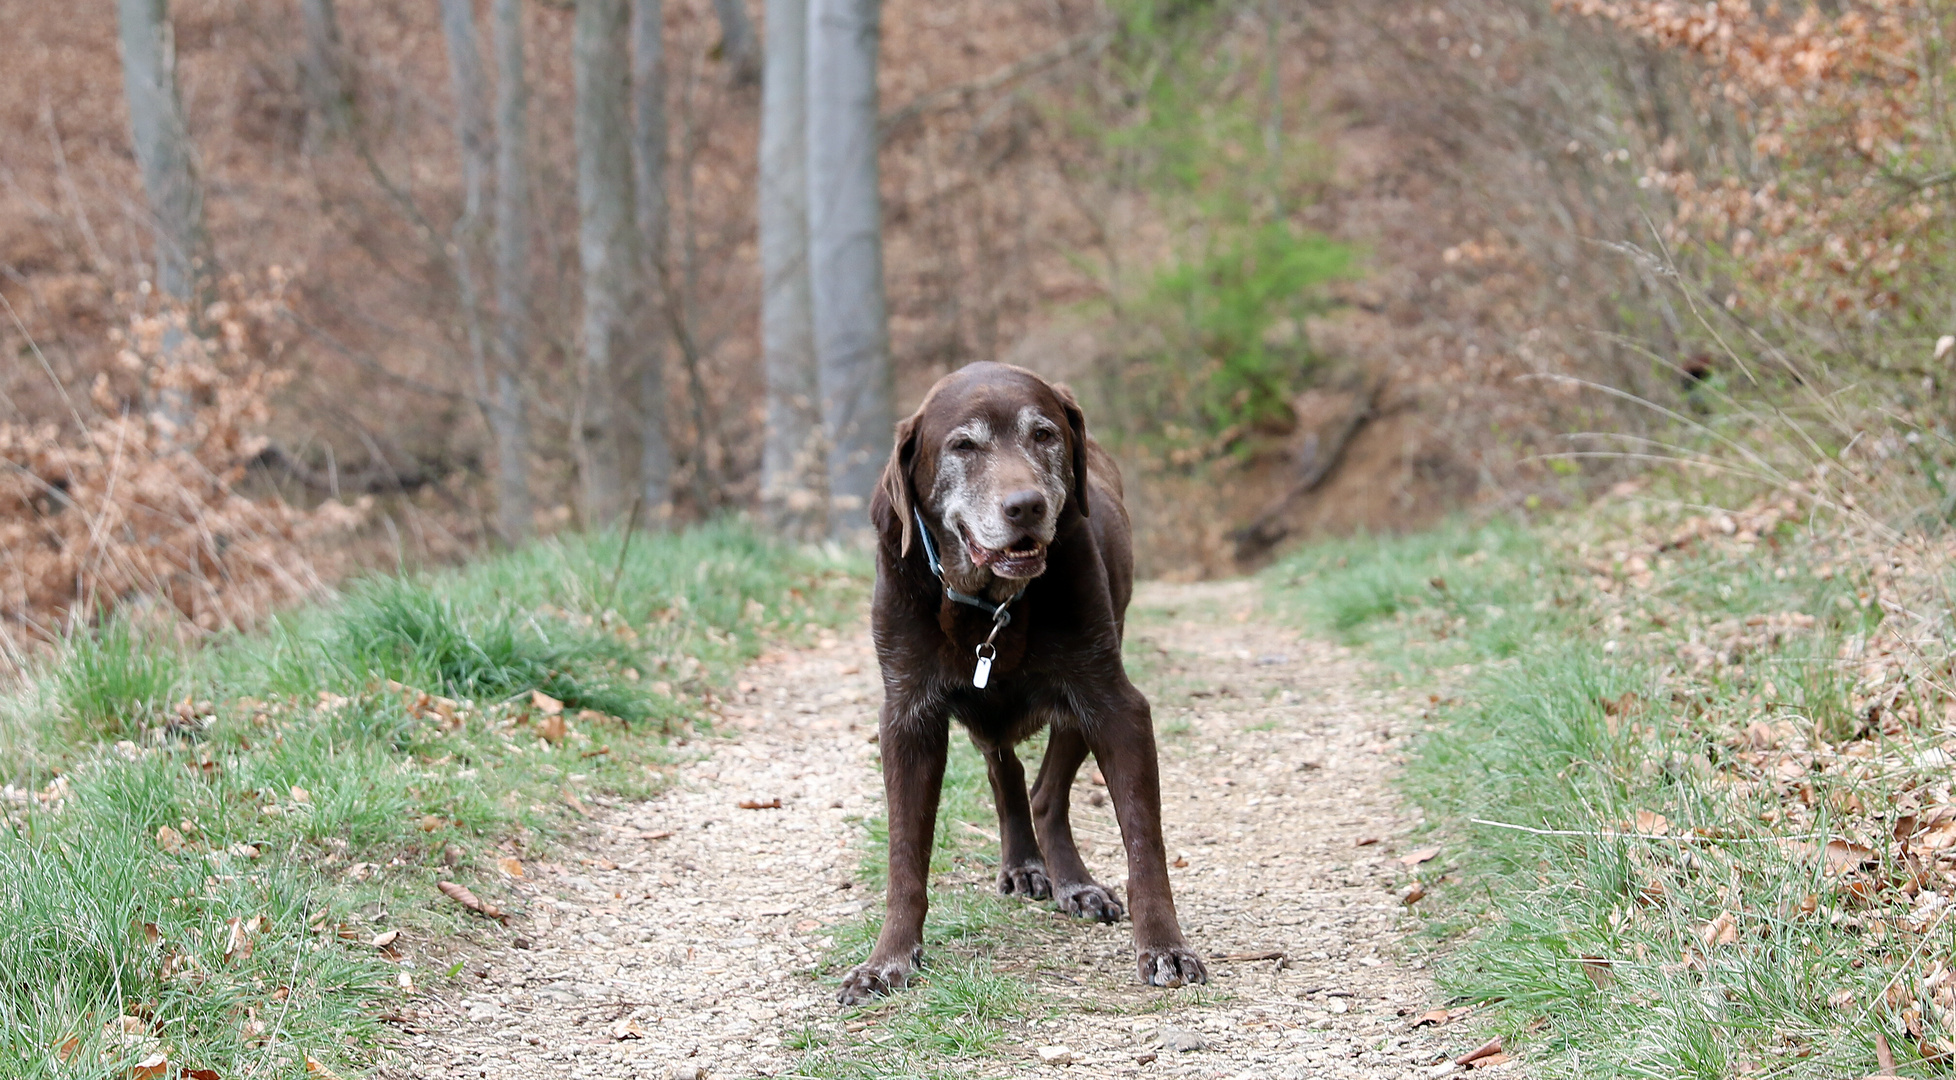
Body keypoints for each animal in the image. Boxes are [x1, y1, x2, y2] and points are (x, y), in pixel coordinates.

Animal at [841, 360, 1204, 1001]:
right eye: (963, 445)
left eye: (1045, 435)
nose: (1026, 506)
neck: (989, 604)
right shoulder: (908, 718)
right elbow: (905, 856)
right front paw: (888, 960)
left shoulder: (1115, 706)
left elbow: (1144, 842)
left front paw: (1164, 944)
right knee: (1005, 771)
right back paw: (1025, 864)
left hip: (1083, 697)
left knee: (1045, 794)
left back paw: (1071, 882)